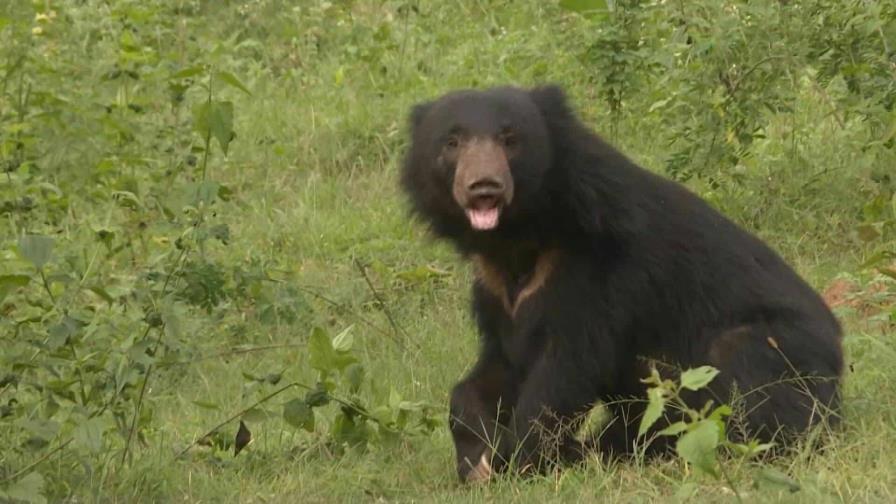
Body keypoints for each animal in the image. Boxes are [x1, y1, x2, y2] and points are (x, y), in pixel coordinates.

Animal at [402, 84, 844, 482]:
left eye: (510, 140)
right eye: (452, 142)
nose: (484, 187)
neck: (520, 238)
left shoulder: (594, 272)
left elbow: (561, 375)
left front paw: (513, 463)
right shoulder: (497, 290)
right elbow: (499, 366)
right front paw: (475, 454)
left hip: (783, 357)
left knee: (746, 374)